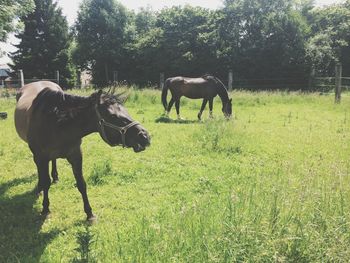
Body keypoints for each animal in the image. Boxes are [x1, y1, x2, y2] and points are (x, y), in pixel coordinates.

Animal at [14, 81, 150, 222]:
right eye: (112, 116)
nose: (144, 136)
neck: (56, 123)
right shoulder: (42, 157)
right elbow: (46, 183)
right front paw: (45, 209)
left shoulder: (76, 156)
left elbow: (81, 184)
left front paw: (89, 214)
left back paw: (55, 177)